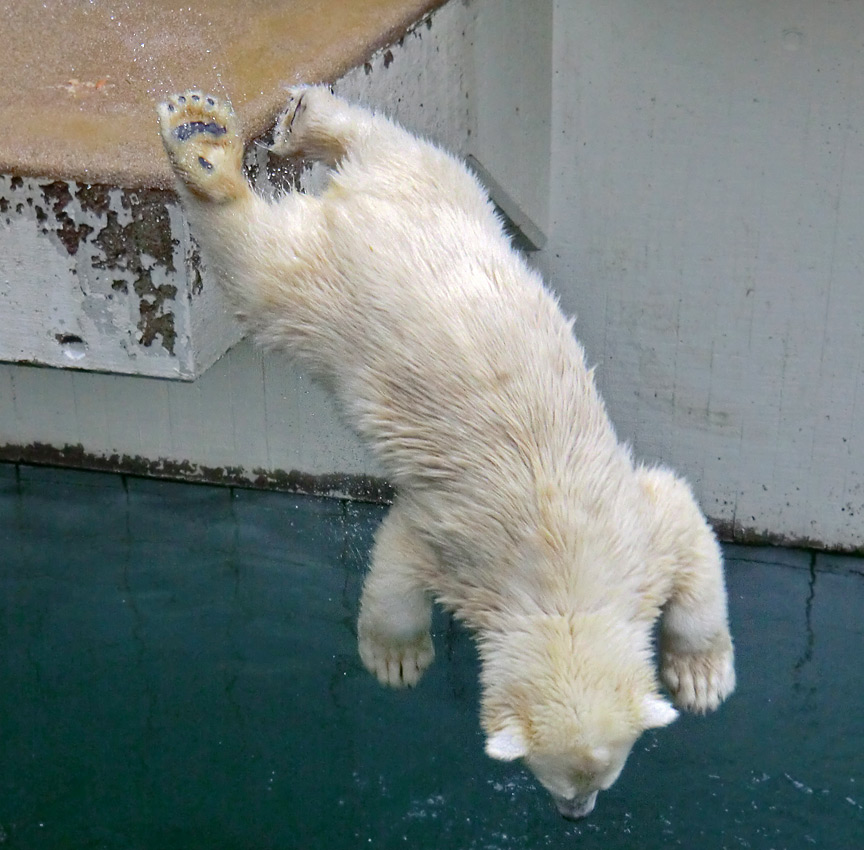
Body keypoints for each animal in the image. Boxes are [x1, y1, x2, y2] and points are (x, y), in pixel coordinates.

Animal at [159, 84, 732, 816]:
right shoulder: (461, 545)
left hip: (447, 193)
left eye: (605, 777)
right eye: (553, 779)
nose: (575, 815)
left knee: (391, 143)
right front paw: (397, 661)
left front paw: (702, 677)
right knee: (257, 266)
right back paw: (203, 153)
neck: (567, 576)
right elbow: (398, 562)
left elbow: (684, 518)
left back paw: (295, 123)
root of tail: (362, 210)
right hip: (323, 302)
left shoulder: (636, 532)